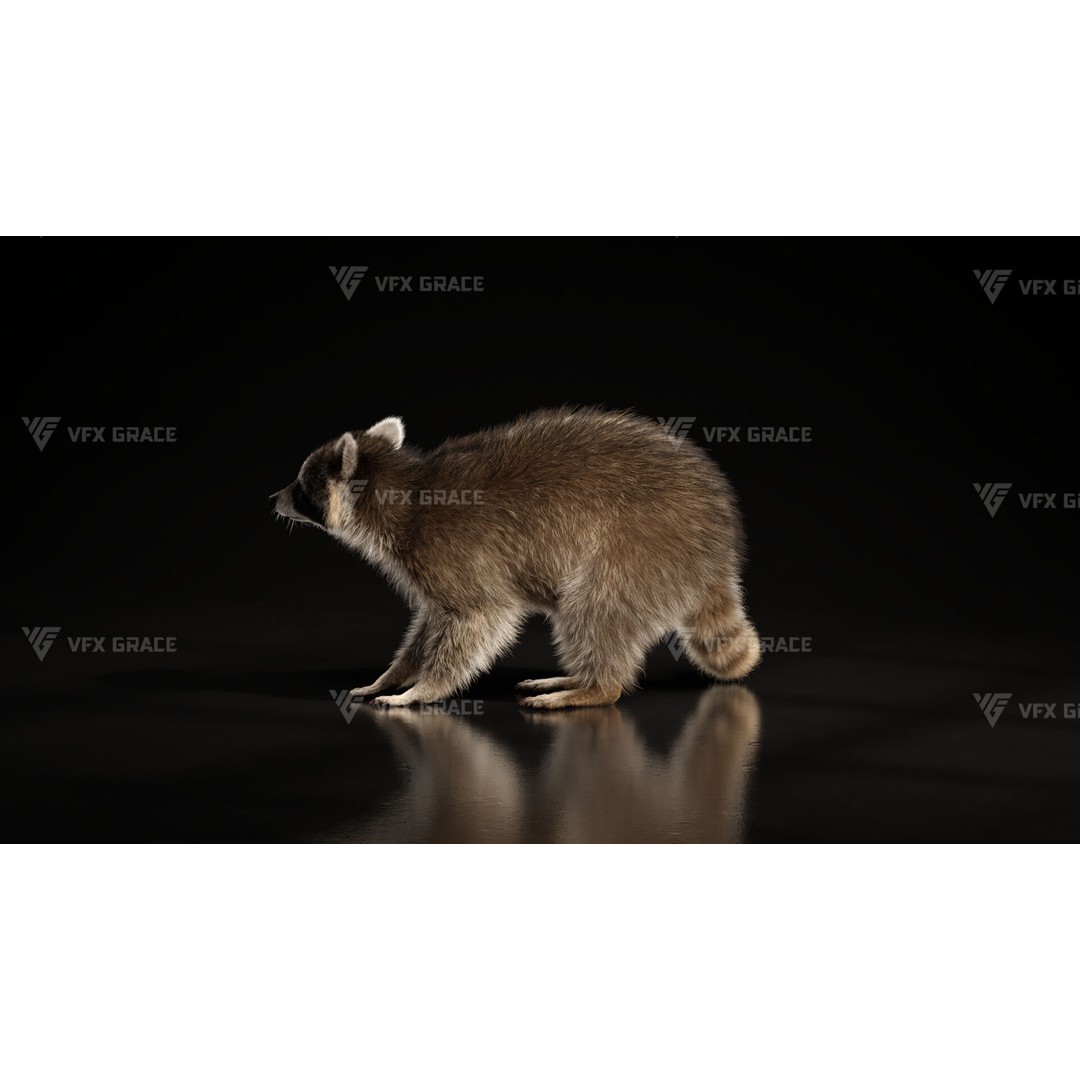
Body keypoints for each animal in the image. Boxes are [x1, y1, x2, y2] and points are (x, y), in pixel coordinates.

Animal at [271, 407, 760, 709]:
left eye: (302, 484)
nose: (273, 498)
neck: (401, 492)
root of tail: (720, 546)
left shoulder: (453, 555)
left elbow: (476, 620)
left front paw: (423, 689)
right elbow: (428, 626)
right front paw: (394, 674)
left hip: (643, 544)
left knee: (594, 606)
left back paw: (595, 687)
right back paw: (579, 678)